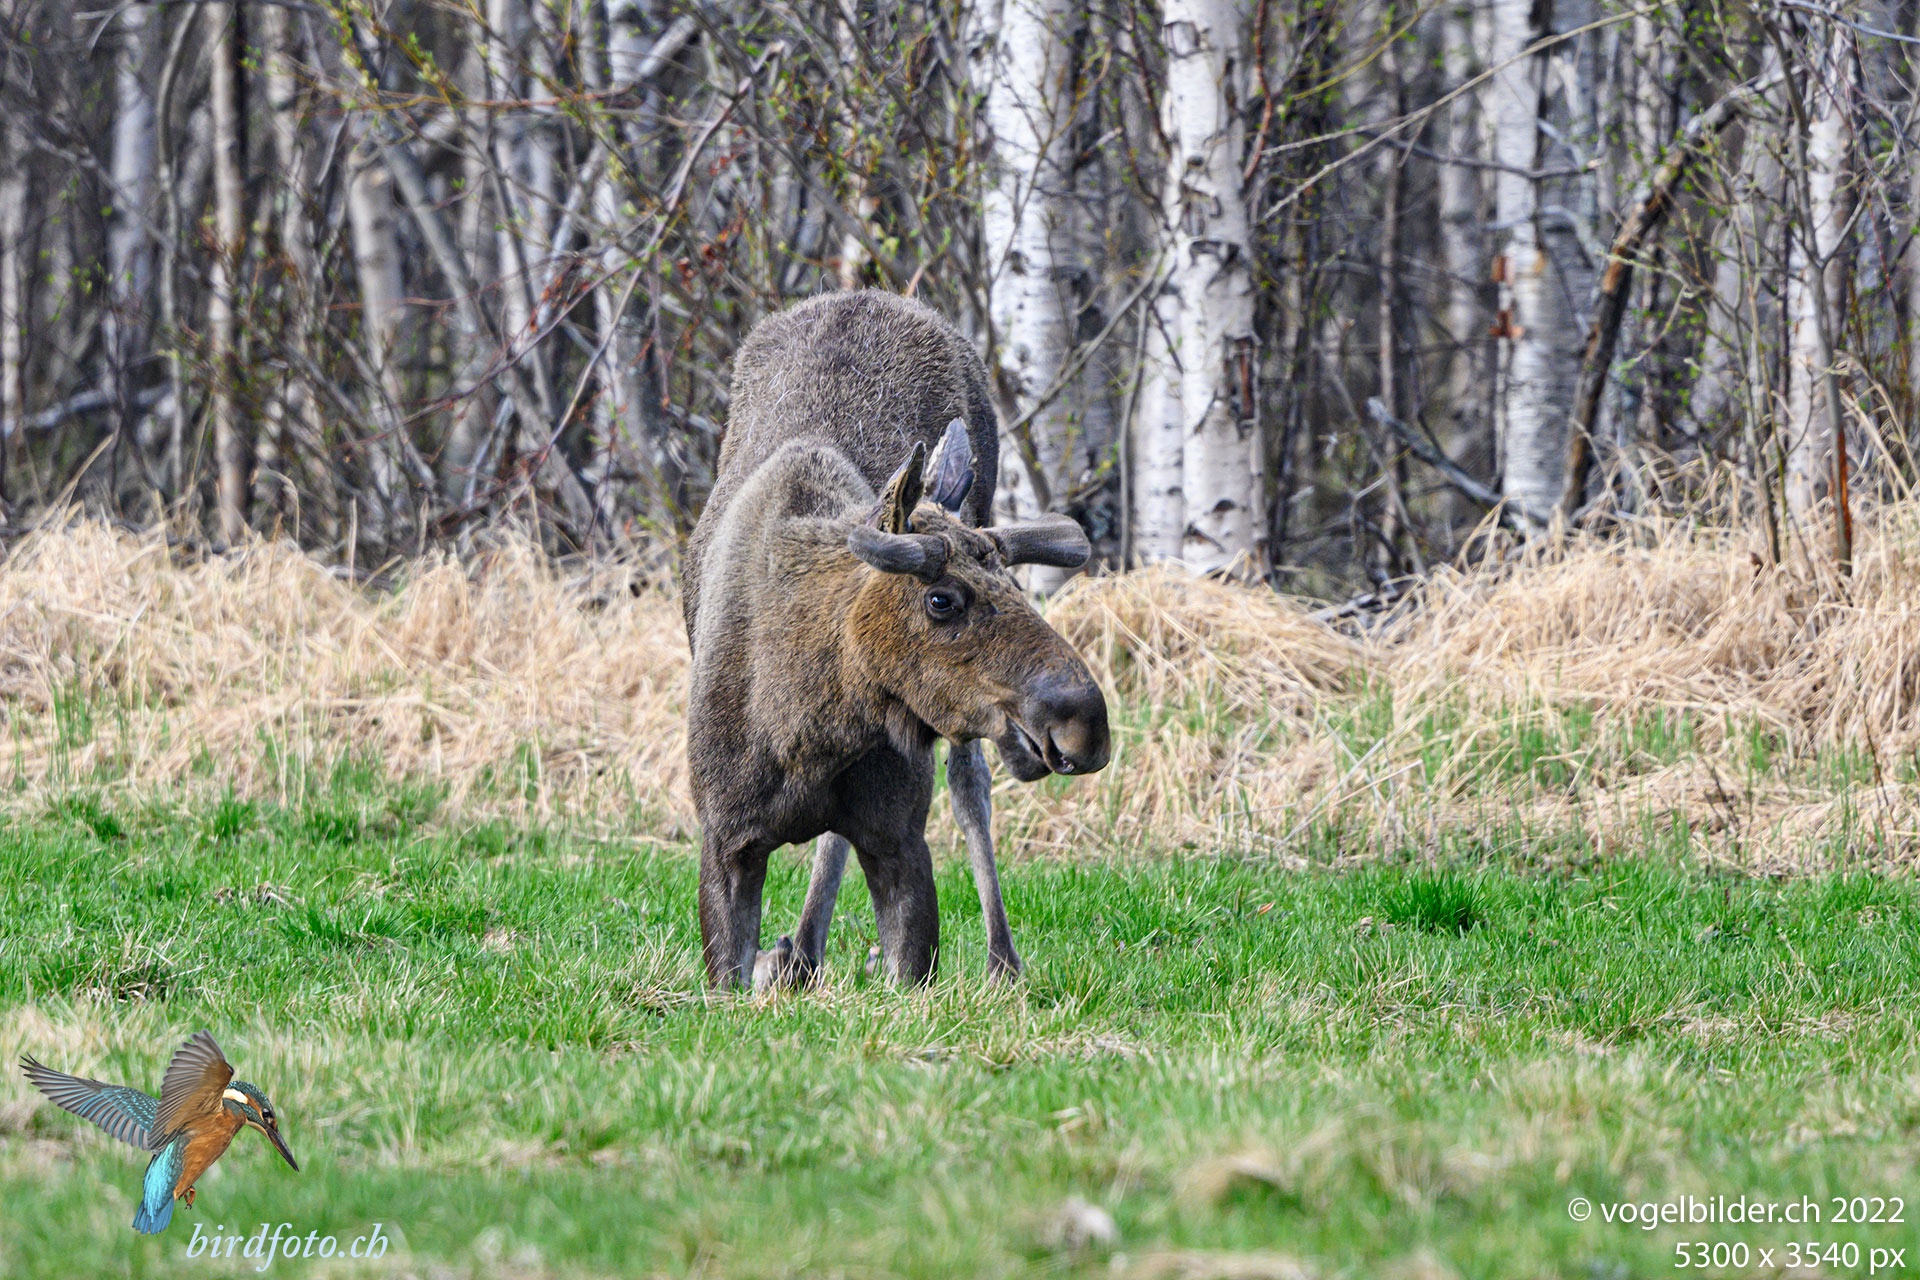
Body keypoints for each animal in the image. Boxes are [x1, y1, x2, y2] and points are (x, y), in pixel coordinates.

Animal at [682, 290, 1110, 990]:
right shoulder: (725, 843)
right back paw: (801, 950)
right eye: (941, 599)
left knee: (968, 784)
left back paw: (999, 958)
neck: (810, 728)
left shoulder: (901, 842)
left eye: (1014, 586)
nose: (1085, 720)